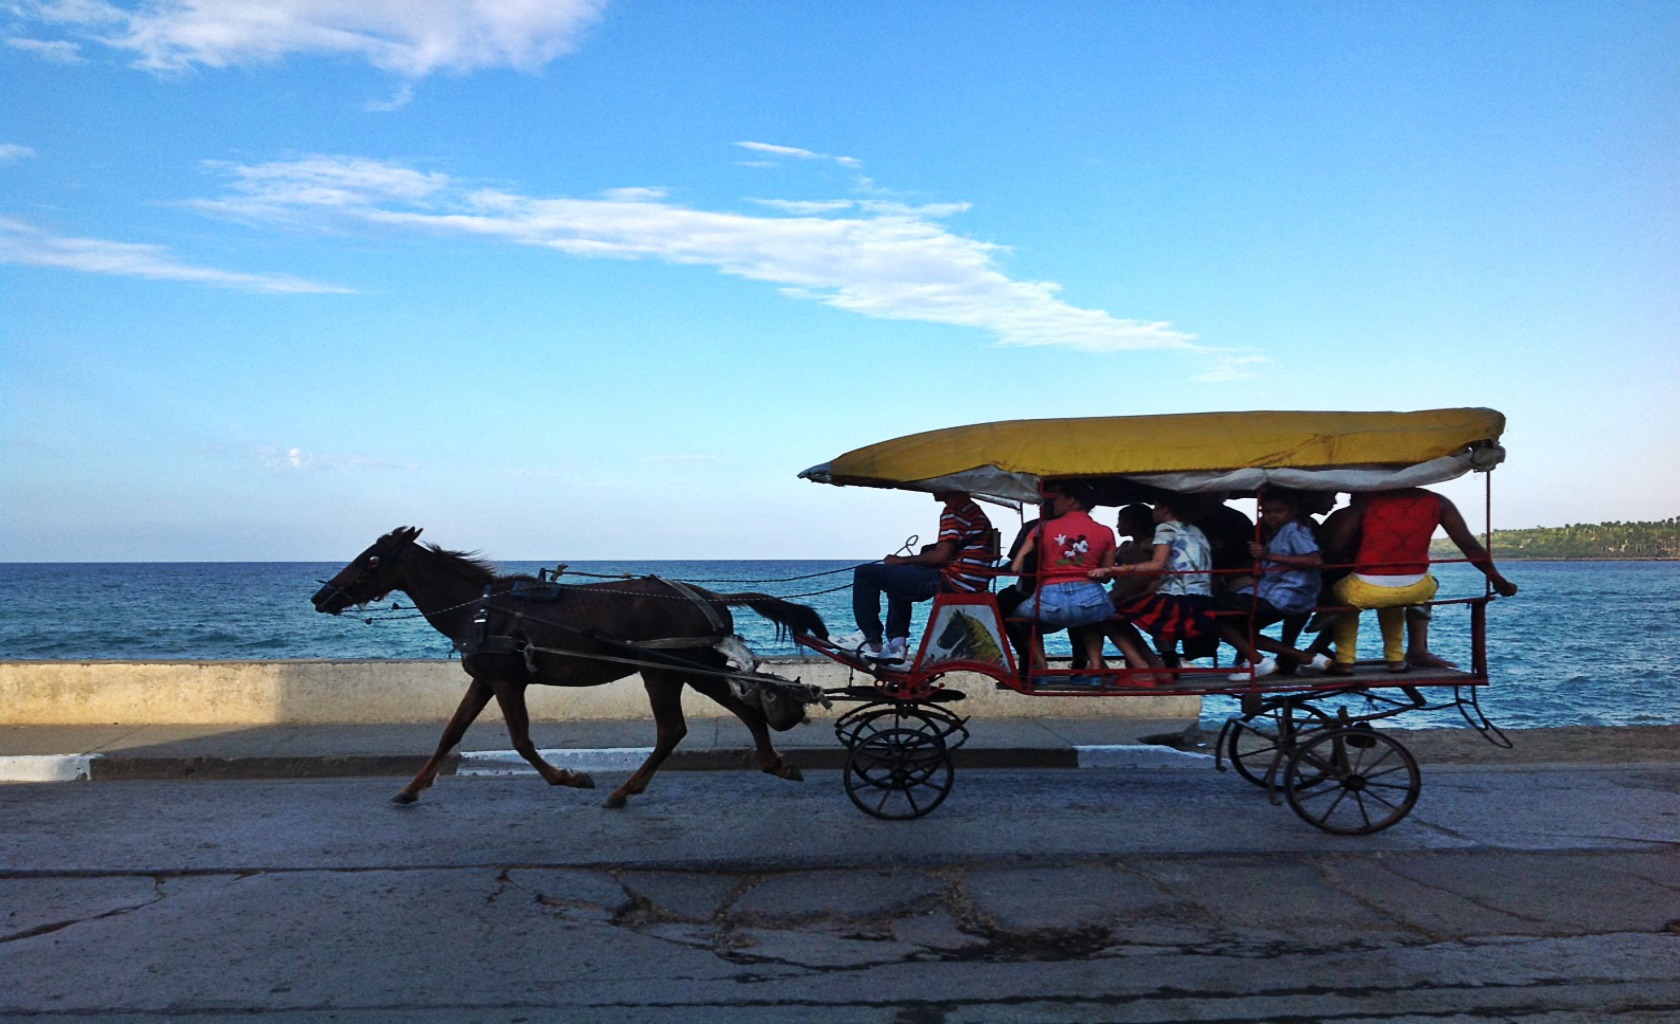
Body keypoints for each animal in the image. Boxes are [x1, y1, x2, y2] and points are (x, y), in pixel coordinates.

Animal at [312, 527, 829, 805]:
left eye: (372, 559)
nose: (322, 597)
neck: (481, 609)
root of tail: (709, 596)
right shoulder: (485, 680)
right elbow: (450, 734)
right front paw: (412, 788)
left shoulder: (508, 680)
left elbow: (521, 740)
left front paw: (568, 776)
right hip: (691, 667)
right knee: (745, 708)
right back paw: (773, 763)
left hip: (661, 670)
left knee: (672, 730)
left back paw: (625, 790)